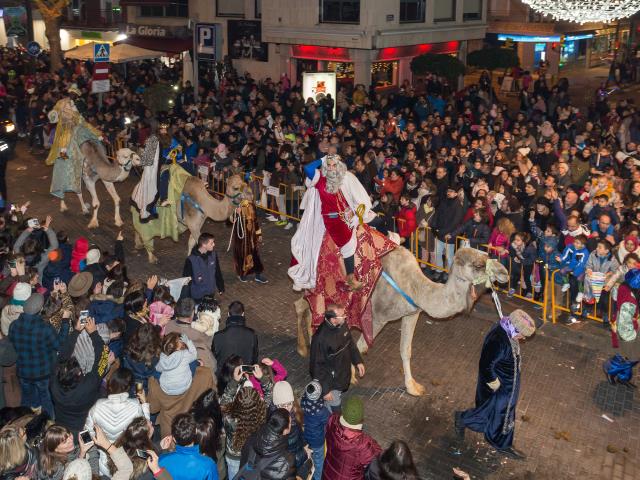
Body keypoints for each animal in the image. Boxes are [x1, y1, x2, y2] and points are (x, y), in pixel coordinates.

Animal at [296, 246, 510, 396]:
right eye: (478, 265)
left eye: (487, 254)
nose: (505, 273)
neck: (415, 287)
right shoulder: (378, 317)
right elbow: (361, 345)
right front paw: (353, 376)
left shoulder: (411, 314)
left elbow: (406, 350)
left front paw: (413, 387)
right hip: (318, 286)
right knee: (302, 306)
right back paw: (302, 348)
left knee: (307, 308)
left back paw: (308, 345)